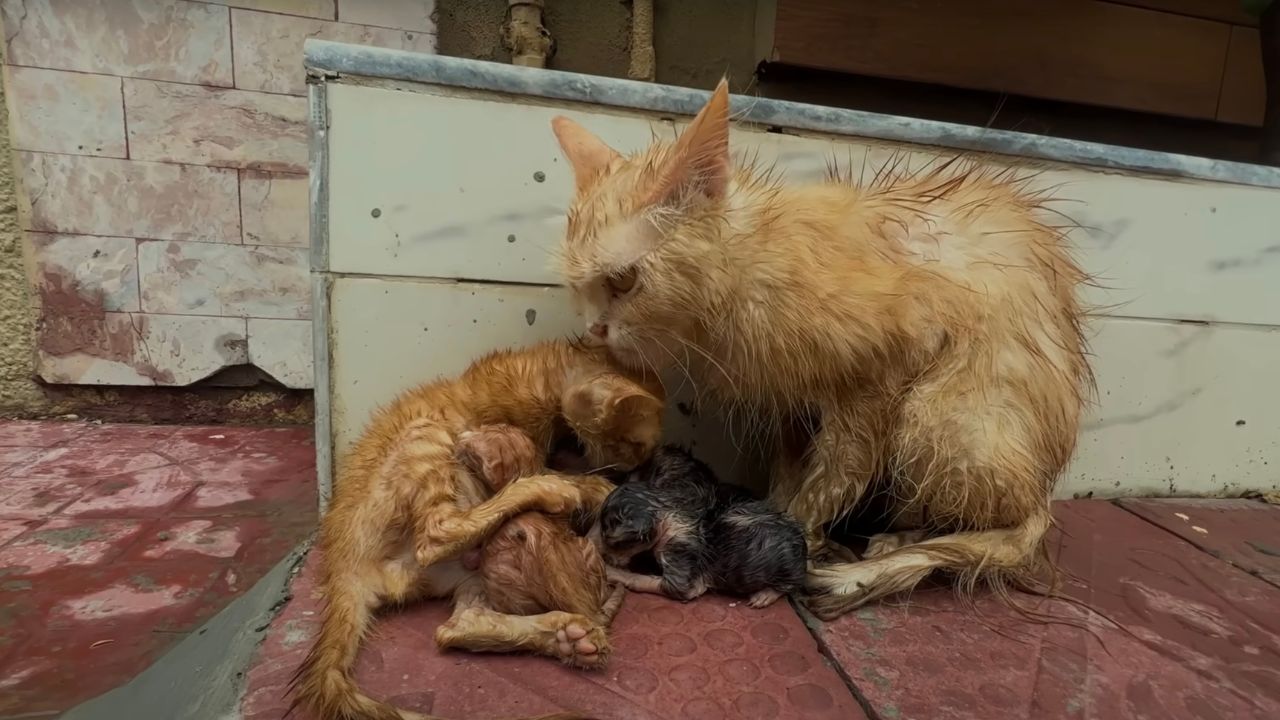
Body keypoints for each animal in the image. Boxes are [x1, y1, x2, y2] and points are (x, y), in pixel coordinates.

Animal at [293, 338, 660, 717]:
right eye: (634, 444)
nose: (638, 466)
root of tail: (342, 565)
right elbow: (556, 470)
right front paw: (590, 486)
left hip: (472, 571)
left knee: (456, 627)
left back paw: (568, 636)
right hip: (428, 435)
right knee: (438, 534)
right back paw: (545, 491)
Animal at [593, 443, 803, 604]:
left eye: (613, 542)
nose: (605, 554)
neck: (673, 508)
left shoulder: (681, 565)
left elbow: (639, 579)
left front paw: (611, 570)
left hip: (787, 571)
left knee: (789, 586)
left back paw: (764, 596)